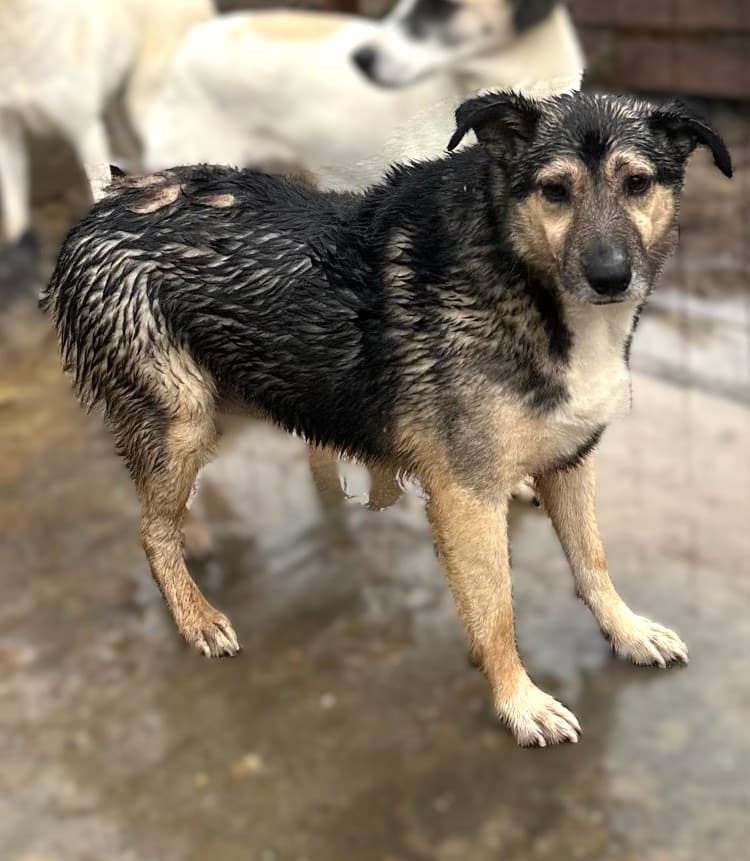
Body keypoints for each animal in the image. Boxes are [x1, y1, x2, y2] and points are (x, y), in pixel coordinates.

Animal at [0, 0, 212, 253]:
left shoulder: (86, 131)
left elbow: (96, 194)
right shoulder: (8, 135)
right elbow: (16, 213)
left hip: (145, 107)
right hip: (121, 116)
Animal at [41, 90, 732, 747]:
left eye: (637, 183)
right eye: (554, 190)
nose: (611, 277)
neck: (517, 271)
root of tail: (108, 201)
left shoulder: (571, 458)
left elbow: (593, 561)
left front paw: (627, 630)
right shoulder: (464, 497)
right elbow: (496, 611)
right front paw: (519, 702)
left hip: (226, 402)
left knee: (165, 504)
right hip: (183, 415)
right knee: (150, 527)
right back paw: (194, 615)